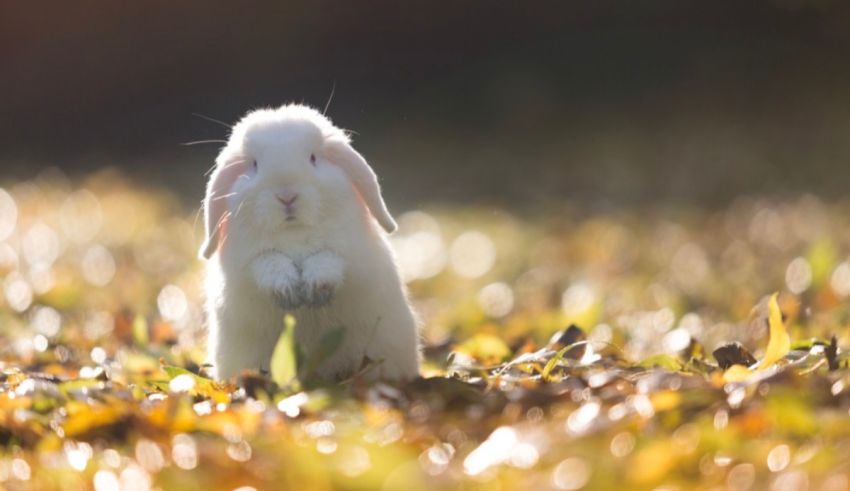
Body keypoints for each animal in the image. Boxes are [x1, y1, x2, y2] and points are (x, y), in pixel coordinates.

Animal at [200, 103, 424, 380]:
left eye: (313, 158)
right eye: (254, 165)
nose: (287, 196)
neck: (293, 232)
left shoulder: (351, 255)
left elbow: (328, 259)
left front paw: (314, 291)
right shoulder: (248, 263)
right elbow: (269, 263)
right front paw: (288, 293)